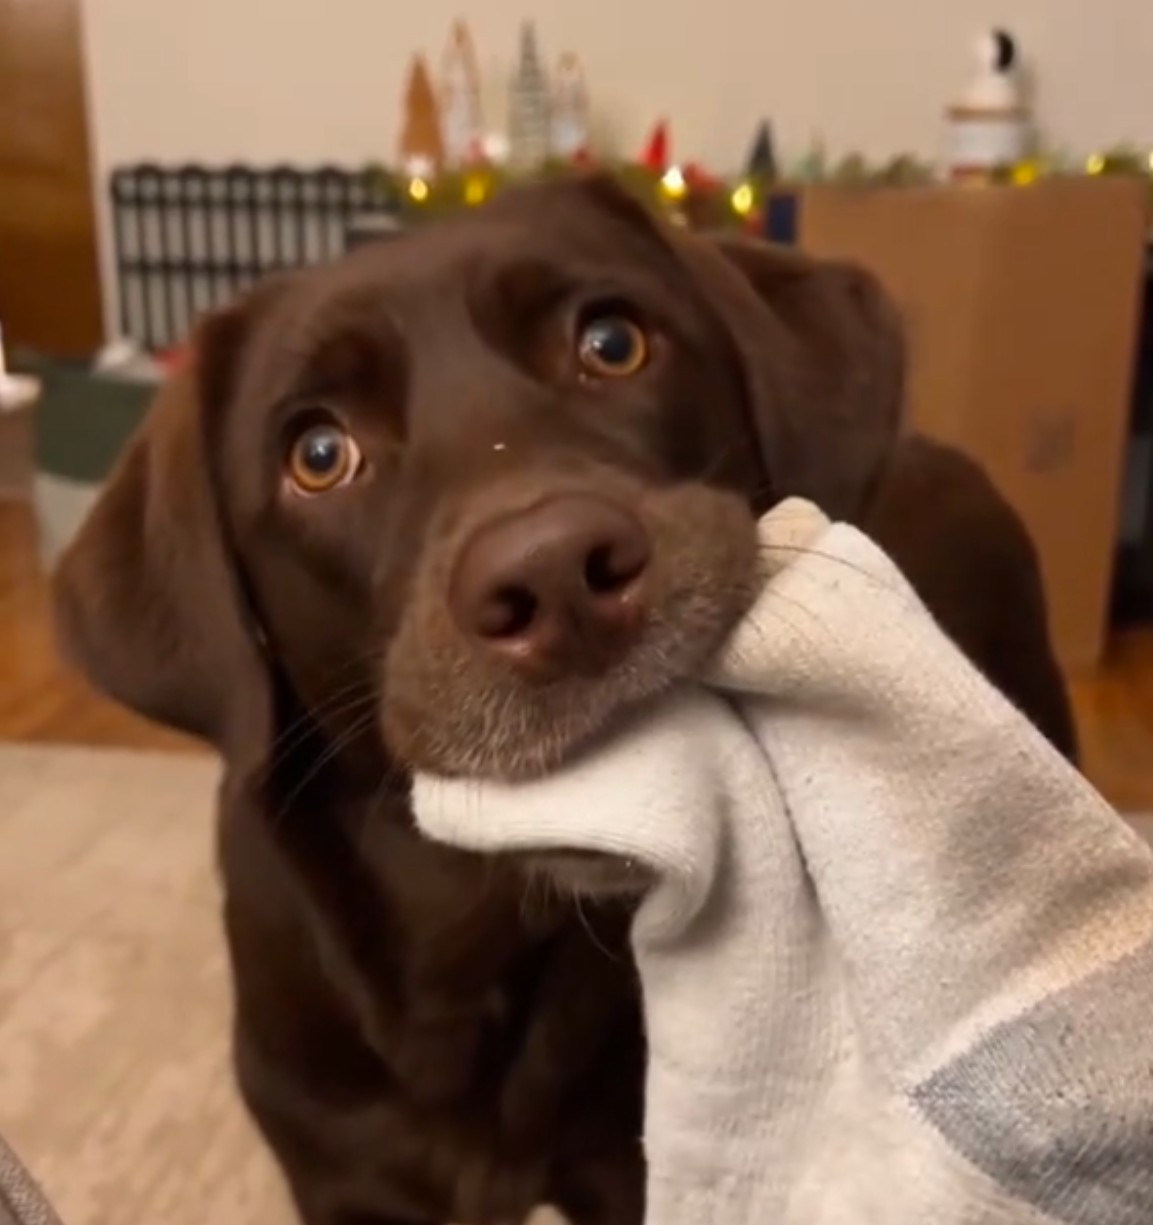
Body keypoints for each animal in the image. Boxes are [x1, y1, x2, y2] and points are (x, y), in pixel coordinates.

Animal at [49, 172, 1073, 1225]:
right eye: (319, 454)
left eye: (612, 342)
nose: (555, 574)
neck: (475, 949)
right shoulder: (341, 1174)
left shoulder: (625, 1168)